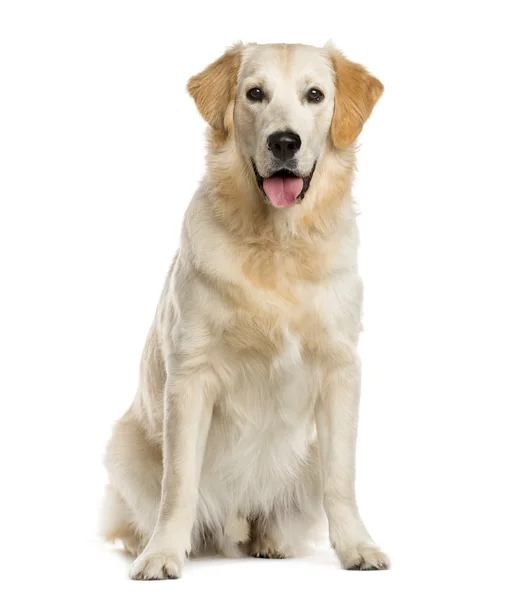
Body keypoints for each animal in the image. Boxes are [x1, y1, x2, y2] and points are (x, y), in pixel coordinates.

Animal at [99, 41, 388, 576]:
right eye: (255, 94)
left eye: (314, 95)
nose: (284, 142)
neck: (278, 244)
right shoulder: (190, 374)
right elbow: (179, 485)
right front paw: (163, 554)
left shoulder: (340, 369)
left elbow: (342, 478)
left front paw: (357, 546)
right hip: (124, 448)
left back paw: (269, 539)